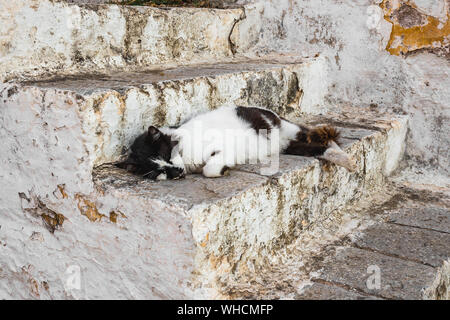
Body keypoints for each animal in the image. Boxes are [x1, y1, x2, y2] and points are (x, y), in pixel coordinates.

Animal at [118, 105, 356, 180]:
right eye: (160, 170)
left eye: (167, 155)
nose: (176, 171)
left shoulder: (222, 148)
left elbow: (210, 169)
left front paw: (223, 169)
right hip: (288, 146)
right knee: (318, 147)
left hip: (288, 129)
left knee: (322, 137)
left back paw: (348, 160)